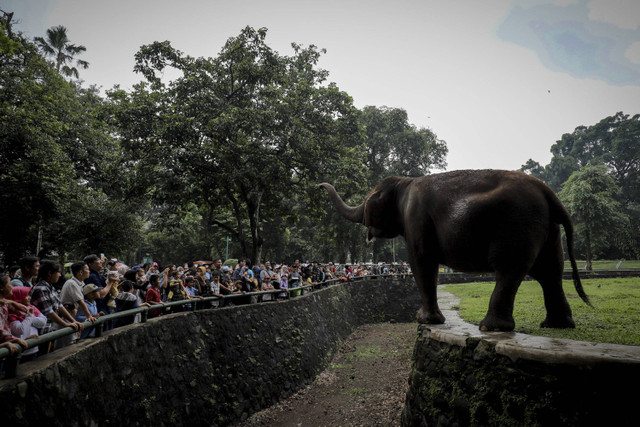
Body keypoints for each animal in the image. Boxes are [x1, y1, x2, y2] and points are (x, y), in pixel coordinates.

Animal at [320, 169, 592, 332]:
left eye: (368, 201)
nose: (319, 185)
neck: (404, 183)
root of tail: (550, 193)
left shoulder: (416, 219)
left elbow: (422, 261)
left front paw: (425, 320)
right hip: (548, 229)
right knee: (550, 272)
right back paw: (556, 325)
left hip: (518, 225)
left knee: (510, 270)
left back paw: (491, 327)